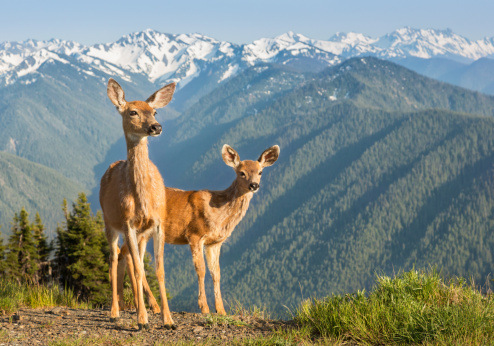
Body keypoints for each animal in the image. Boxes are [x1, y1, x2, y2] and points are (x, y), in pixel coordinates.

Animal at [99, 78, 177, 330]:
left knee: (130, 259)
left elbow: (158, 270)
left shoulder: (158, 224)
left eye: (154, 111)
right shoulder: (128, 223)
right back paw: (115, 311)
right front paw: (143, 320)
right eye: (132, 112)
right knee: (115, 258)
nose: (156, 127)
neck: (143, 199)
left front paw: (168, 319)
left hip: (141, 234)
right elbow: (139, 269)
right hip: (110, 223)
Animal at [115, 145, 278, 314]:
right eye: (242, 173)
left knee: (125, 253)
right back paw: (150, 305)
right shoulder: (195, 234)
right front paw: (204, 307)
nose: (254, 185)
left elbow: (216, 273)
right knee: (129, 255)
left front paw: (221, 310)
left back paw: (129, 303)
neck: (218, 212)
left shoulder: (215, 243)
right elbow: (201, 269)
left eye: (260, 172)